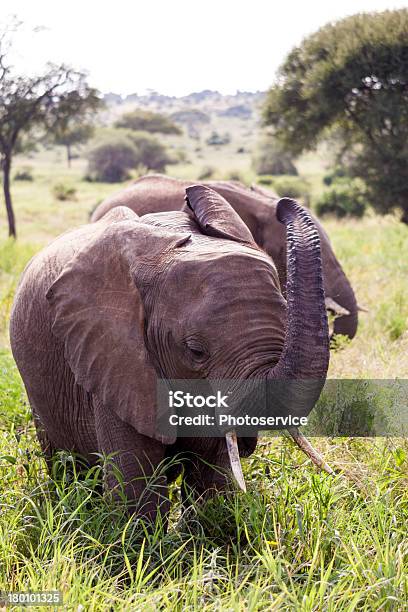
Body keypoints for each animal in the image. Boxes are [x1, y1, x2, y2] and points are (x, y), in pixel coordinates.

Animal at [11, 184, 332, 524]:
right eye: (195, 351)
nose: (282, 205)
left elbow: (210, 480)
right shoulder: (113, 358)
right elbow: (136, 491)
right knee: (65, 464)